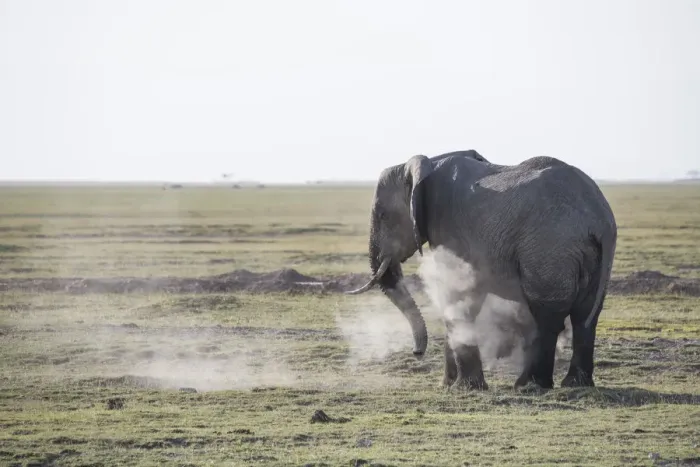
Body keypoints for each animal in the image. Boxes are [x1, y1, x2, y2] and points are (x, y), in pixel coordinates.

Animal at [346, 150, 617, 390]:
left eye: (383, 215)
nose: (416, 352)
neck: (428, 164)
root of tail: (599, 219)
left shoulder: (450, 228)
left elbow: (459, 295)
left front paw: (465, 388)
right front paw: (448, 386)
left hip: (549, 247)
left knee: (547, 316)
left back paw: (528, 385)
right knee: (586, 315)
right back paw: (575, 384)